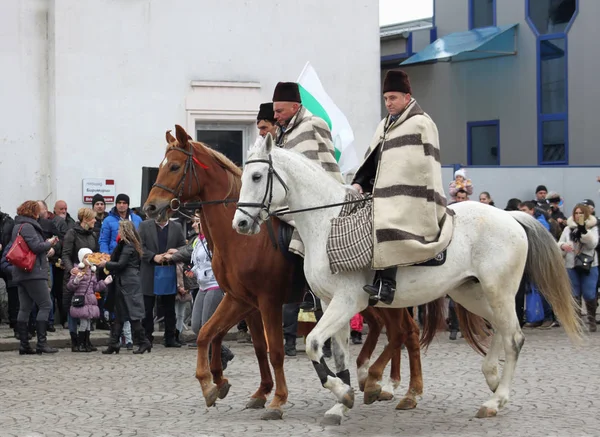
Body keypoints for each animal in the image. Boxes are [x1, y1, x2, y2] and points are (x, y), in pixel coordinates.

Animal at [143, 124, 486, 420]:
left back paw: (397, 387)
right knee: (390, 331)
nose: (150, 208)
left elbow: (275, 350)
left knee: (406, 332)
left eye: (174, 166)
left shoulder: (268, 301)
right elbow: (213, 335)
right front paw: (222, 385)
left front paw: (277, 399)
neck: (243, 241)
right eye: (161, 165)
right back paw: (376, 380)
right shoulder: (241, 300)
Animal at [232, 135, 584, 422]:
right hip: (471, 293)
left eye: (257, 176)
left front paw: (343, 392)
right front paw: (341, 403)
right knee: (500, 328)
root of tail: (510, 216)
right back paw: (492, 379)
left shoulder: (347, 301)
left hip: (499, 291)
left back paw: (495, 401)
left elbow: (314, 344)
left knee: (514, 338)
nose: (240, 224)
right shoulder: (331, 302)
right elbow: (338, 354)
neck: (328, 222)